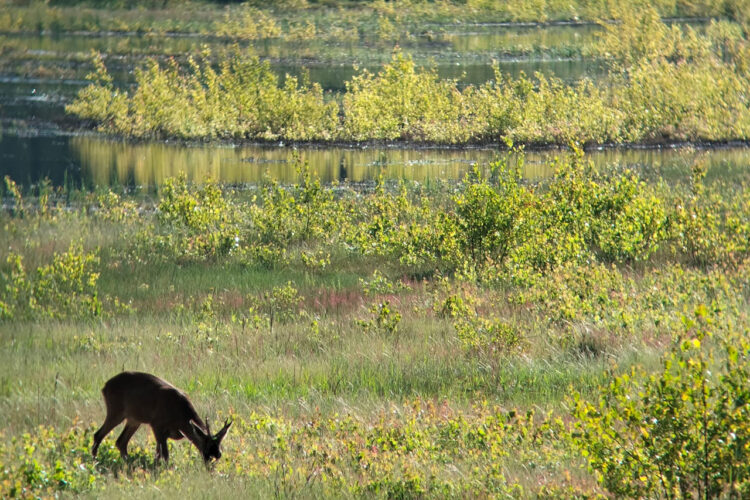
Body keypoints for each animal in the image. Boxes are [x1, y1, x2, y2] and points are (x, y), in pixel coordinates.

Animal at [92, 372, 232, 464]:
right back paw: (94, 461)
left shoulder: (165, 433)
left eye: (219, 448)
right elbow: (165, 455)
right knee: (98, 435)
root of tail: (105, 386)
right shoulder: (156, 424)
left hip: (134, 420)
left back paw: (126, 462)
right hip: (116, 411)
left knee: (121, 442)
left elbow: (158, 454)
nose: (217, 455)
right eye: (206, 447)